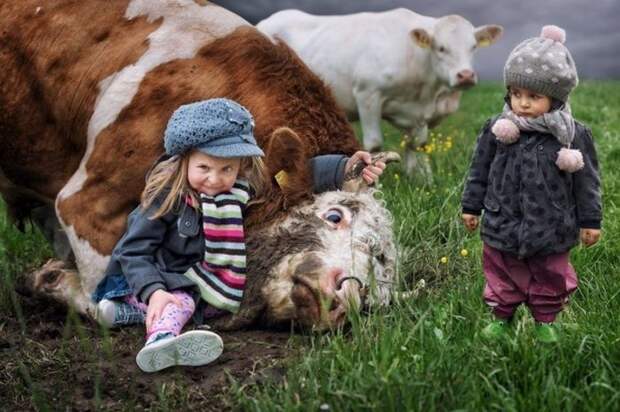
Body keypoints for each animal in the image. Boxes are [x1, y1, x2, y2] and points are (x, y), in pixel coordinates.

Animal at [1, 0, 398, 330]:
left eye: (374, 289)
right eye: (334, 216)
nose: (345, 297)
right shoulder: (87, 204)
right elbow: (109, 299)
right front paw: (48, 279)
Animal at [256, 8, 504, 175]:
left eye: (473, 47)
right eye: (441, 48)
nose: (465, 75)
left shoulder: (420, 113)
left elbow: (417, 144)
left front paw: (419, 176)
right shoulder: (368, 94)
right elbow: (374, 144)